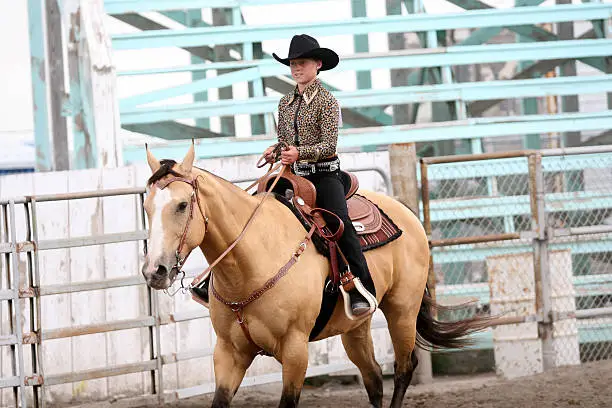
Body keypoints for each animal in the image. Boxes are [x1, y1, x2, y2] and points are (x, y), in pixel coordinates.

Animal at [141, 144, 490, 408]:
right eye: (146, 206)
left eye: (182, 205)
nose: (154, 271)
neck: (252, 262)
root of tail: (405, 211)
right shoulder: (228, 353)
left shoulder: (295, 351)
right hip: (355, 327)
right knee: (374, 378)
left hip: (403, 310)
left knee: (404, 369)